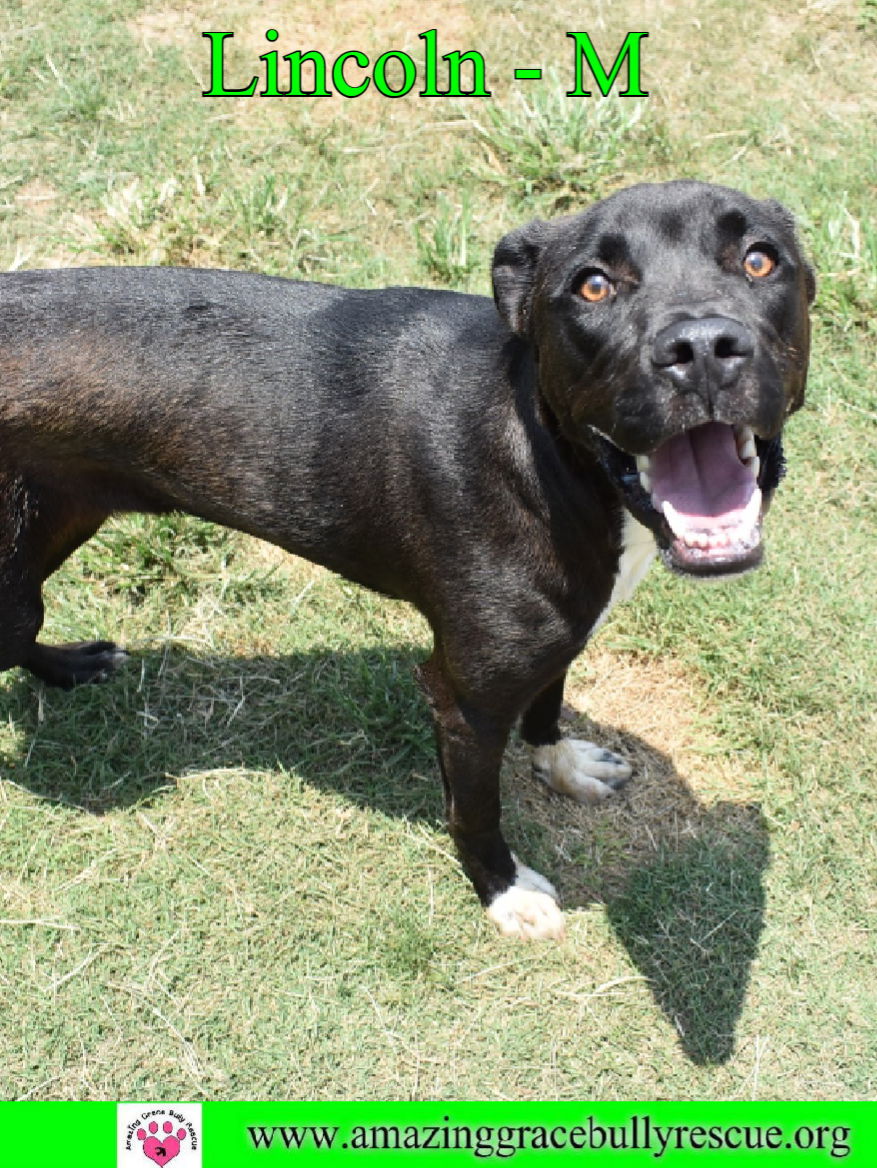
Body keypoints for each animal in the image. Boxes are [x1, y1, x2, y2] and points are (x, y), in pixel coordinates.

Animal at [0, 182, 817, 939]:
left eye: (759, 259)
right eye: (593, 285)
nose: (701, 348)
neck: (543, 447)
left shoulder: (556, 630)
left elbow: (547, 700)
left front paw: (560, 764)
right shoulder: (466, 696)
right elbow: (476, 811)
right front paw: (503, 891)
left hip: (58, 526)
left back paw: (74, 666)